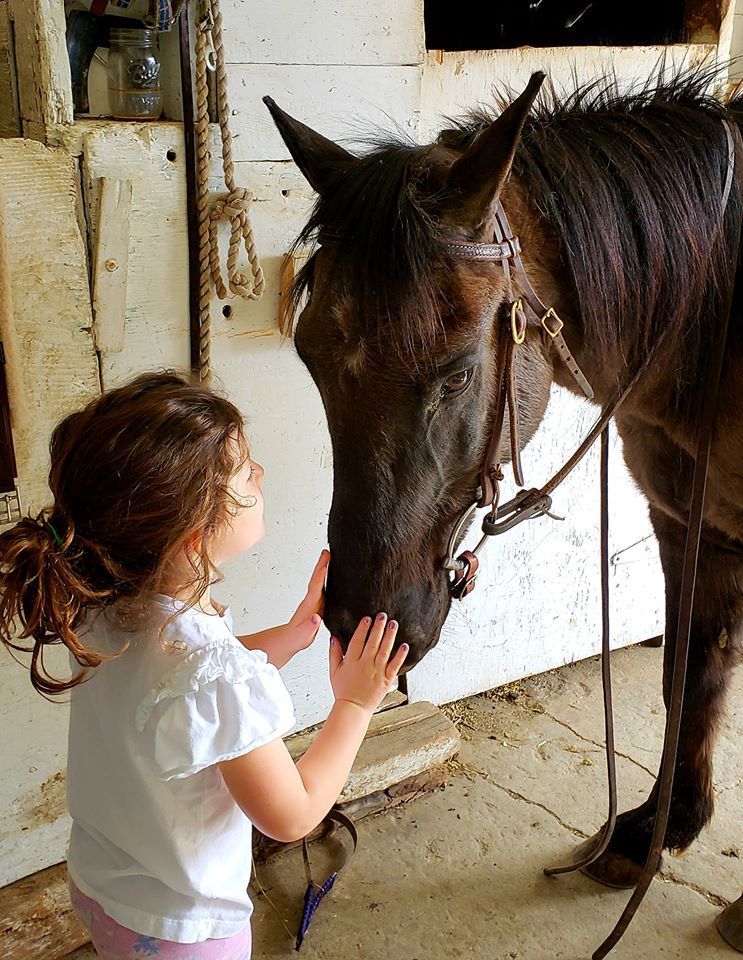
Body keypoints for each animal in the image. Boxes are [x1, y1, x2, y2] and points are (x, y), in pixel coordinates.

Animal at [266, 73, 743, 892]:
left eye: (458, 372)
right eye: (308, 357)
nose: (360, 620)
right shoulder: (686, 522)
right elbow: (688, 669)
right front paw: (656, 831)